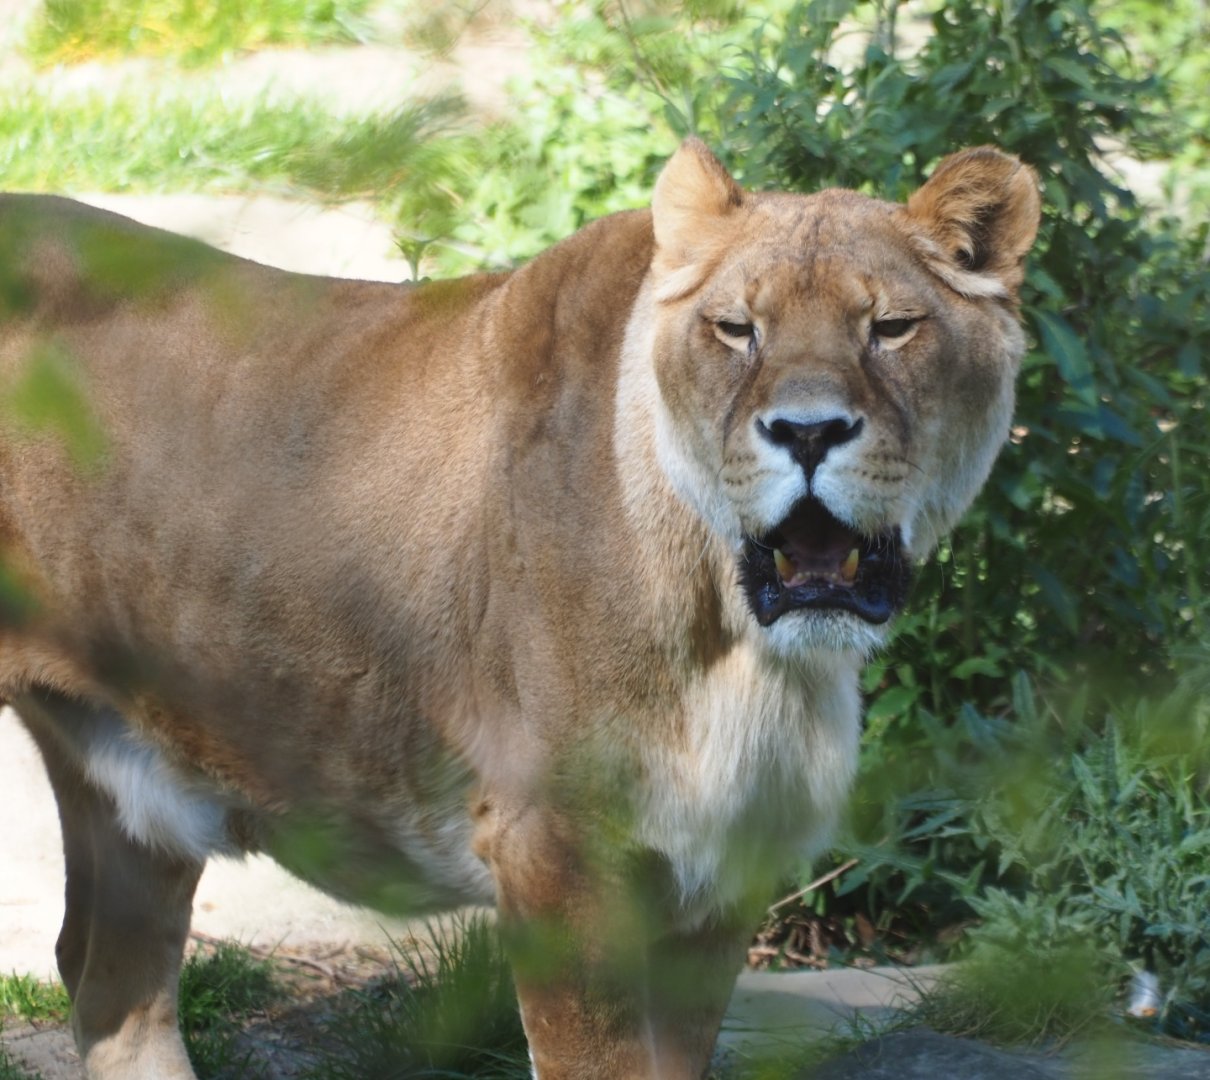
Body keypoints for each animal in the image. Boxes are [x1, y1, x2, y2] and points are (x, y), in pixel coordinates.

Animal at [0, 139, 1039, 1079]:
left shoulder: (720, 867)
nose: (808, 432)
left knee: (108, 986)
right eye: (736, 328)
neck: (743, 643)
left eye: (892, 328)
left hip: (127, 783)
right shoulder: (557, 849)